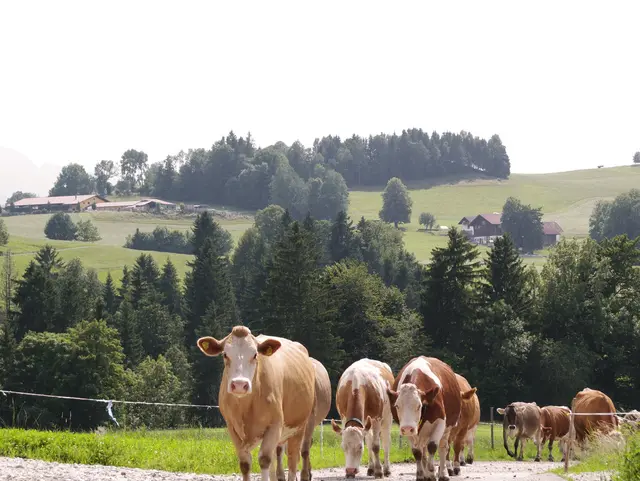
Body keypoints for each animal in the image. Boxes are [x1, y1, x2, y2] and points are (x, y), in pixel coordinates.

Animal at [195, 326, 316, 481]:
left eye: (255, 355)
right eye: (225, 355)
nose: (239, 385)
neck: (246, 407)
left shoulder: (275, 425)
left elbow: (264, 459)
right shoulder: (232, 427)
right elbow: (245, 463)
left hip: (299, 427)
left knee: (292, 460)